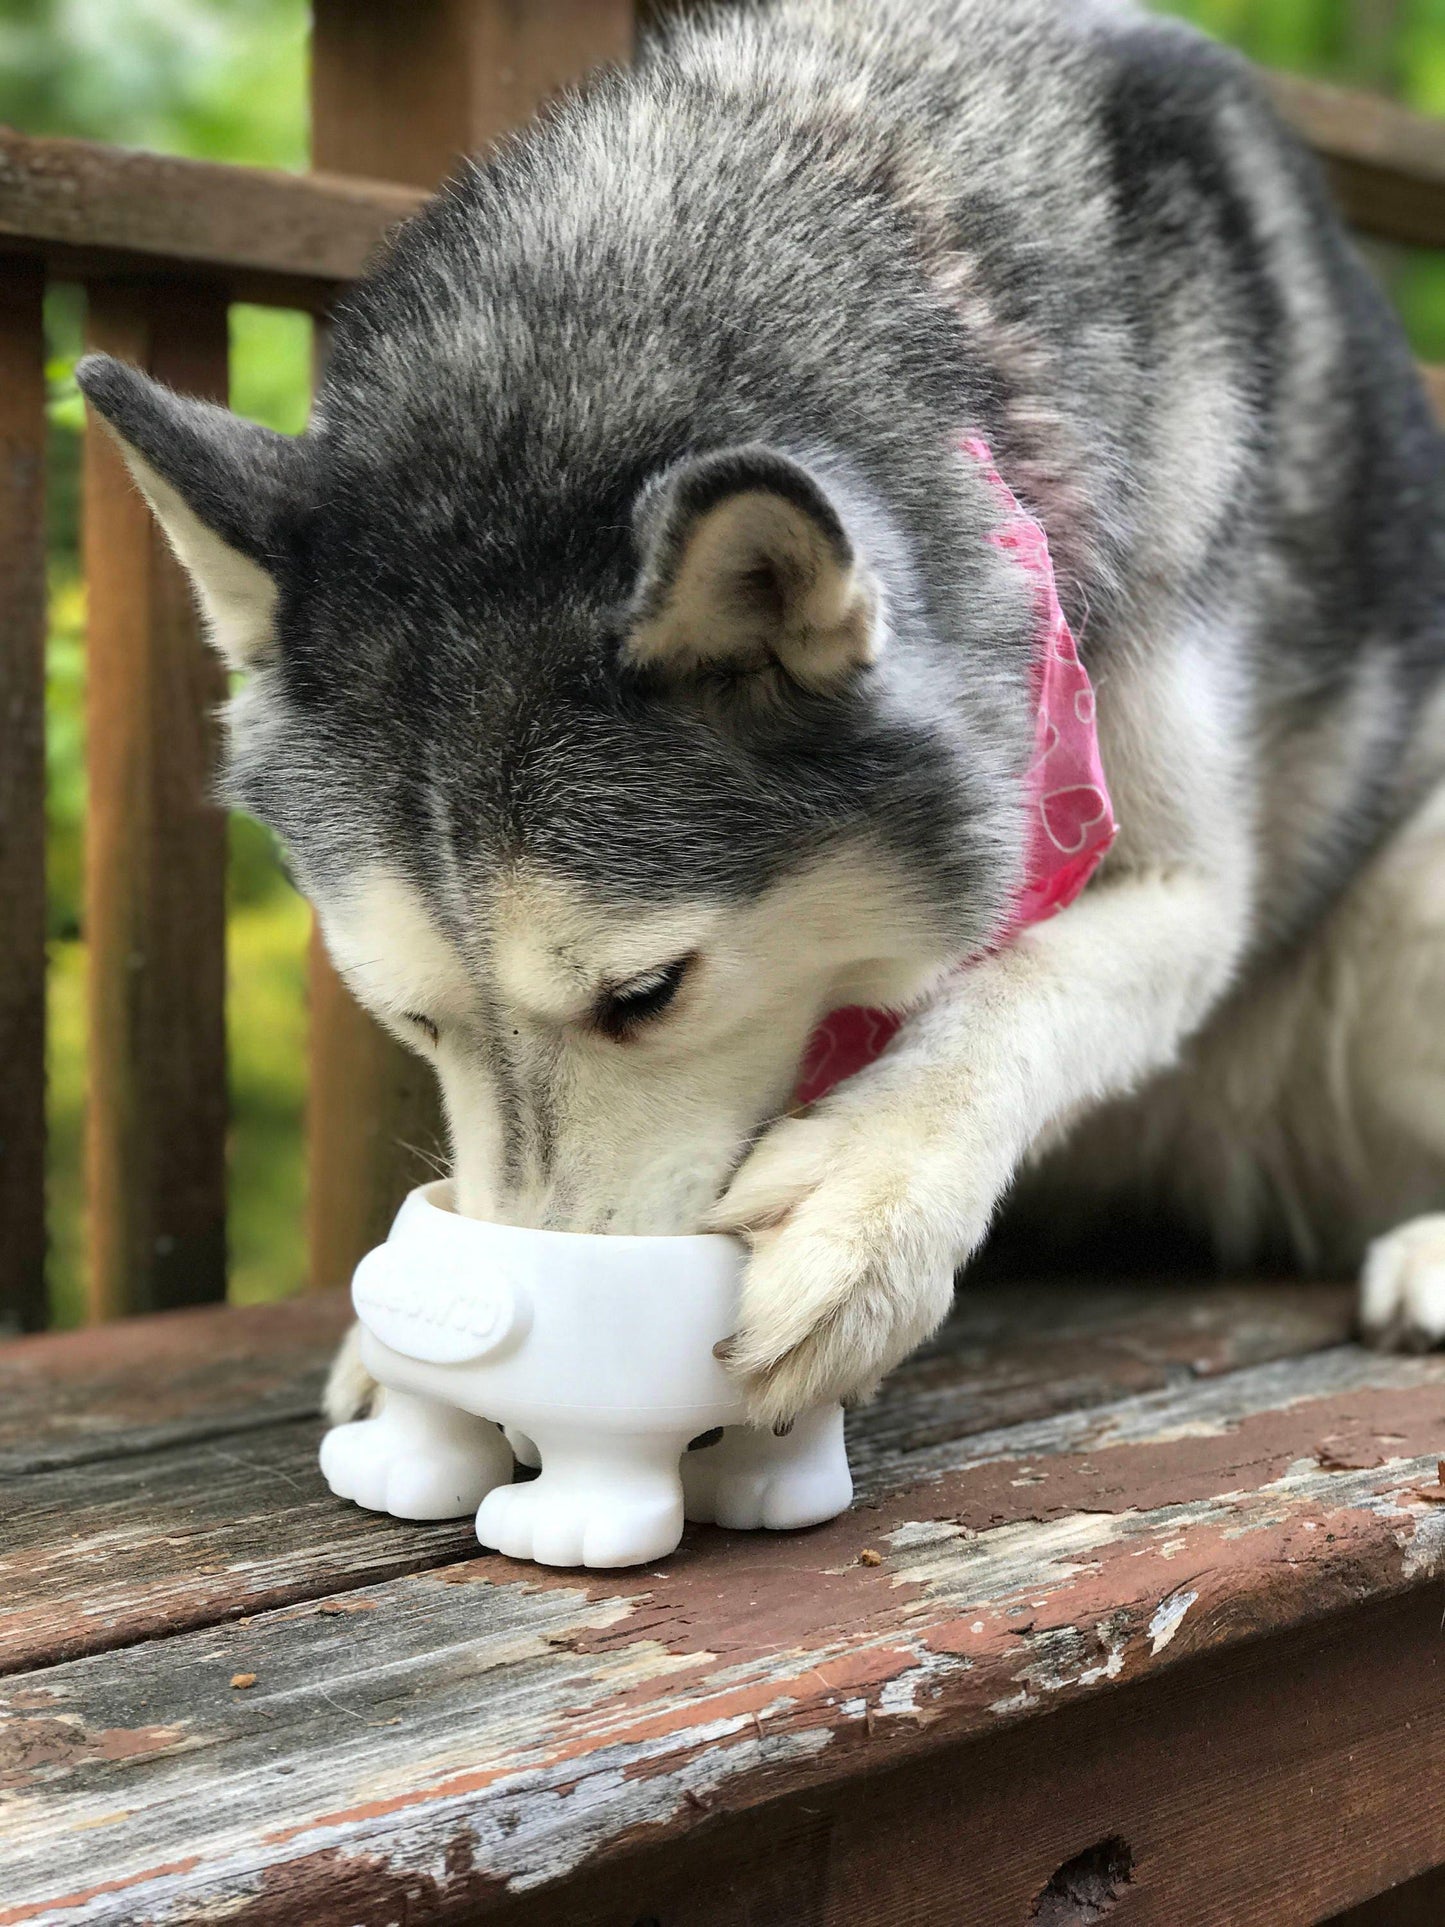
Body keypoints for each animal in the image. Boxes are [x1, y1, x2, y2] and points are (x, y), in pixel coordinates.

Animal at [78, 0, 1445, 1449]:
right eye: (411, 1020)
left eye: (645, 994)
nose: (518, 1426)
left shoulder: (1187, 883)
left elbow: (1027, 975)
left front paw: (861, 1197)